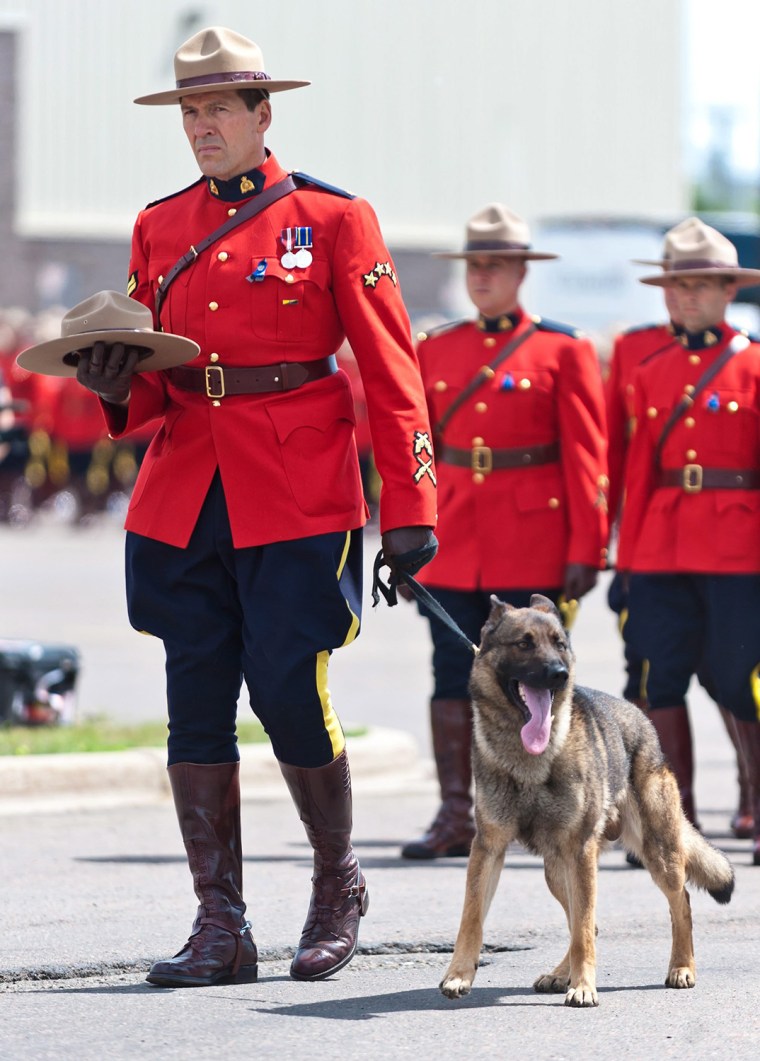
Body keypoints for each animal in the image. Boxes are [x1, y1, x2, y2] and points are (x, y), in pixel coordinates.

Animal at [439, 594, 734, 1005]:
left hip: (656, 855)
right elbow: (472, 917)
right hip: (556, 870)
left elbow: (581, 929)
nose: (559, 674)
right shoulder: (488, 847)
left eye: (560, 644)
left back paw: (681, 967)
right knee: (587, 922)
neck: (529, 759)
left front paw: (583, 987)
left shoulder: (579, 852)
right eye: (524, 643)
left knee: (678, 905)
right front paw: (459, 975)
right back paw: (559, 974)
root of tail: (642, 718)